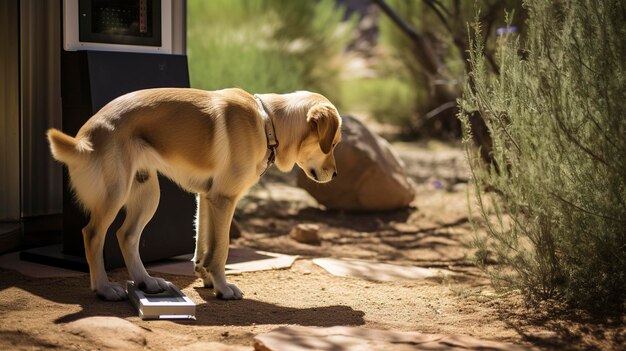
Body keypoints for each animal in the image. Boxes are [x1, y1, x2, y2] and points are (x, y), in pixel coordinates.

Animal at [47, 88, 342, 300]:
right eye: (332, 145)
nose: (336, 175)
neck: (267, 122)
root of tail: (84, 138)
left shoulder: (207, 198)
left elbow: (204, 243)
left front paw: (206, 276)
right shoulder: (224, 199)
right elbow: (222, 248)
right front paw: (223, 288)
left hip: (148, 194)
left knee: (126, 235)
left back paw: (146, 282)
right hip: (116, 193)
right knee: (93, 234)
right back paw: (104, 289)